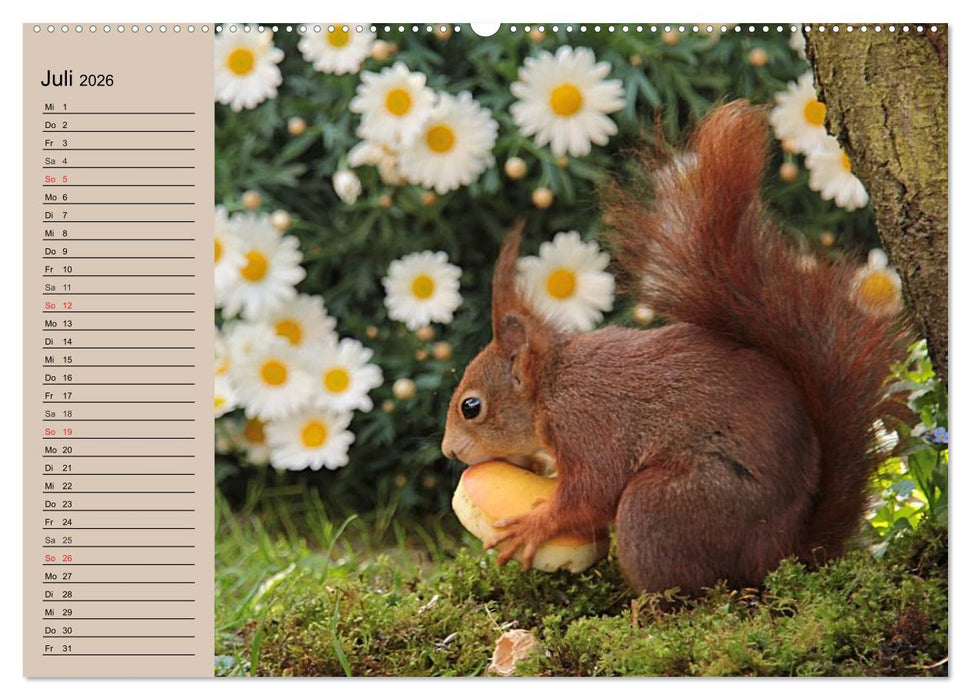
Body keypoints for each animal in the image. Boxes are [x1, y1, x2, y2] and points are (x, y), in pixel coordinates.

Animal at [440, 101, 910, 595]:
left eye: (471, 407)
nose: (449, 452)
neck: (552, 387)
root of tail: (785, 552)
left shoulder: (588, 427)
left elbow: (591, 492)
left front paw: (535, 526)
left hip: (661, 508)